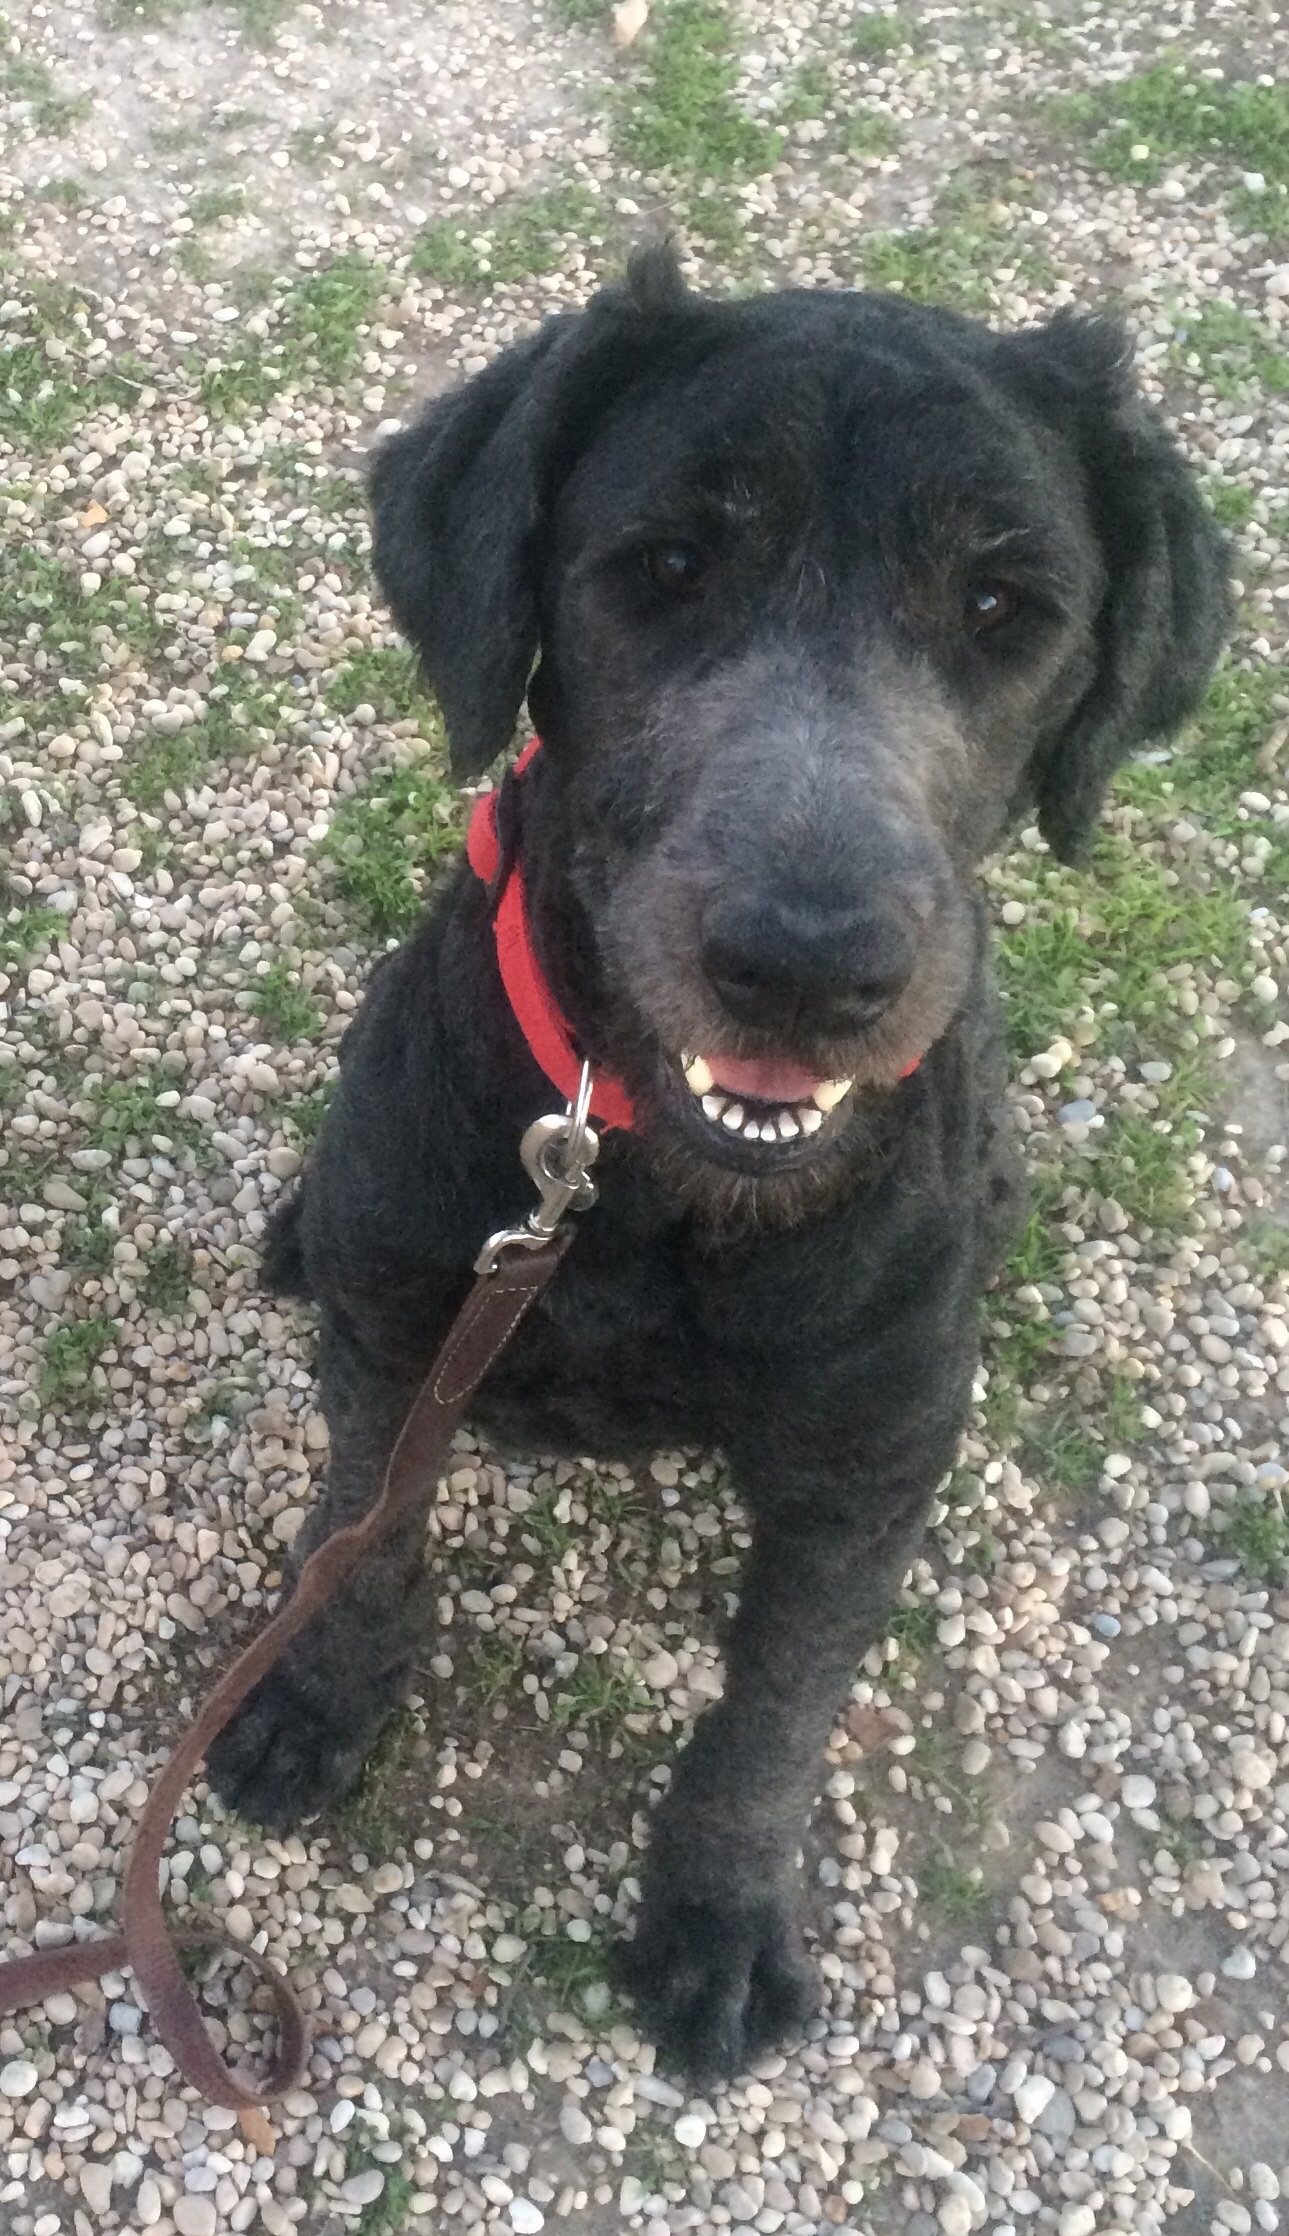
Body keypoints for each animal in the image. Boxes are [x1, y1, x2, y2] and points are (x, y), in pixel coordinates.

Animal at [209, 244, 1226, 2075]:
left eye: (1003, 608)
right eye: (668, 567)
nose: (807, 963)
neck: (641, 1182)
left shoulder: (862, 1476)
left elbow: (776, 1711)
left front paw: (718, 1913)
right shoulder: (394, 1342)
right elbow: (364, 1538)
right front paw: (315, 1695)